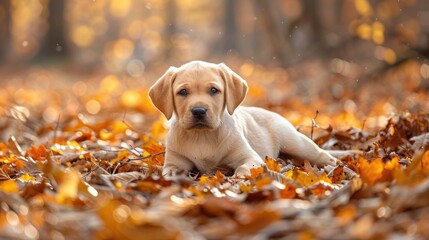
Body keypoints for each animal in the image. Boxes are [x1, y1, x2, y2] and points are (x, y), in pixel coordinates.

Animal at [149, 60, 336, 176]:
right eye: (183, 92)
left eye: (214, 90)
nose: (199, 111)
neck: (201, 137)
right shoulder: (174, 162)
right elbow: (170, 172)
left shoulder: (250, 158)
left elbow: (243, 169)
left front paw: (237, 179)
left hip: (295, 143)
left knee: (321, 154)